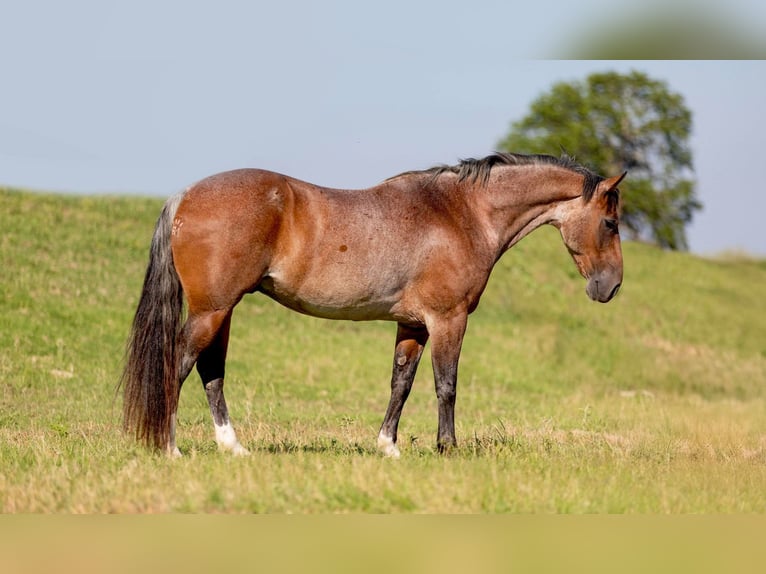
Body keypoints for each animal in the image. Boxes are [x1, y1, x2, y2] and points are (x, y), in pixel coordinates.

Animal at [118, 152, 624, 460]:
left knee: (211, 371)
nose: (612, 287)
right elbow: (446, 385)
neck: (461, 214)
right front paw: (448, 448)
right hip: (212, 310)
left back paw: (232, 447)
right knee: (180, 362)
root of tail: (185, 196)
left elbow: (401, 383)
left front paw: (388, 446)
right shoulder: (449, 319)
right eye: (611, 223)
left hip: (221, 311)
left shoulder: (413, 325)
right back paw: (170, 447)